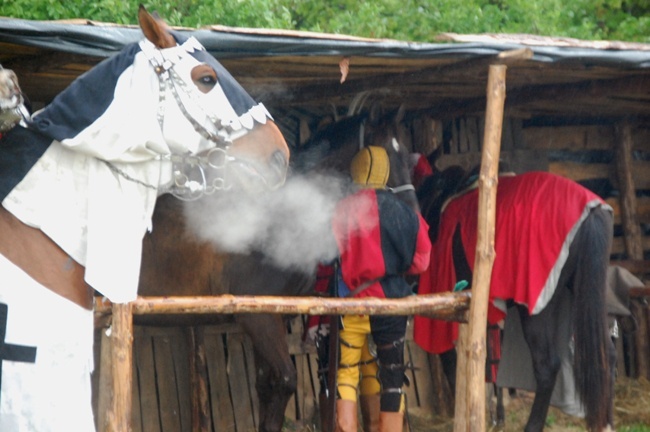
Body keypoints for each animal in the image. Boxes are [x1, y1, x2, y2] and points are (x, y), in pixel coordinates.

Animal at [138, 109, 420, 432]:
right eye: (382, 155)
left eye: (409, 157)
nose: (414, 221)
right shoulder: (258, 319)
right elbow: (285, 379)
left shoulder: (271, 316)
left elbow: (266, 385)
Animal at [412, 166, 616, 432]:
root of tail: (591, 213)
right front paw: (495, 414)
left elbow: (457, 360)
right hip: (582, 297)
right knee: (607, 354)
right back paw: (606, 422)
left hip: (536, 307)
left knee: (547, 365)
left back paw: (533, 425)